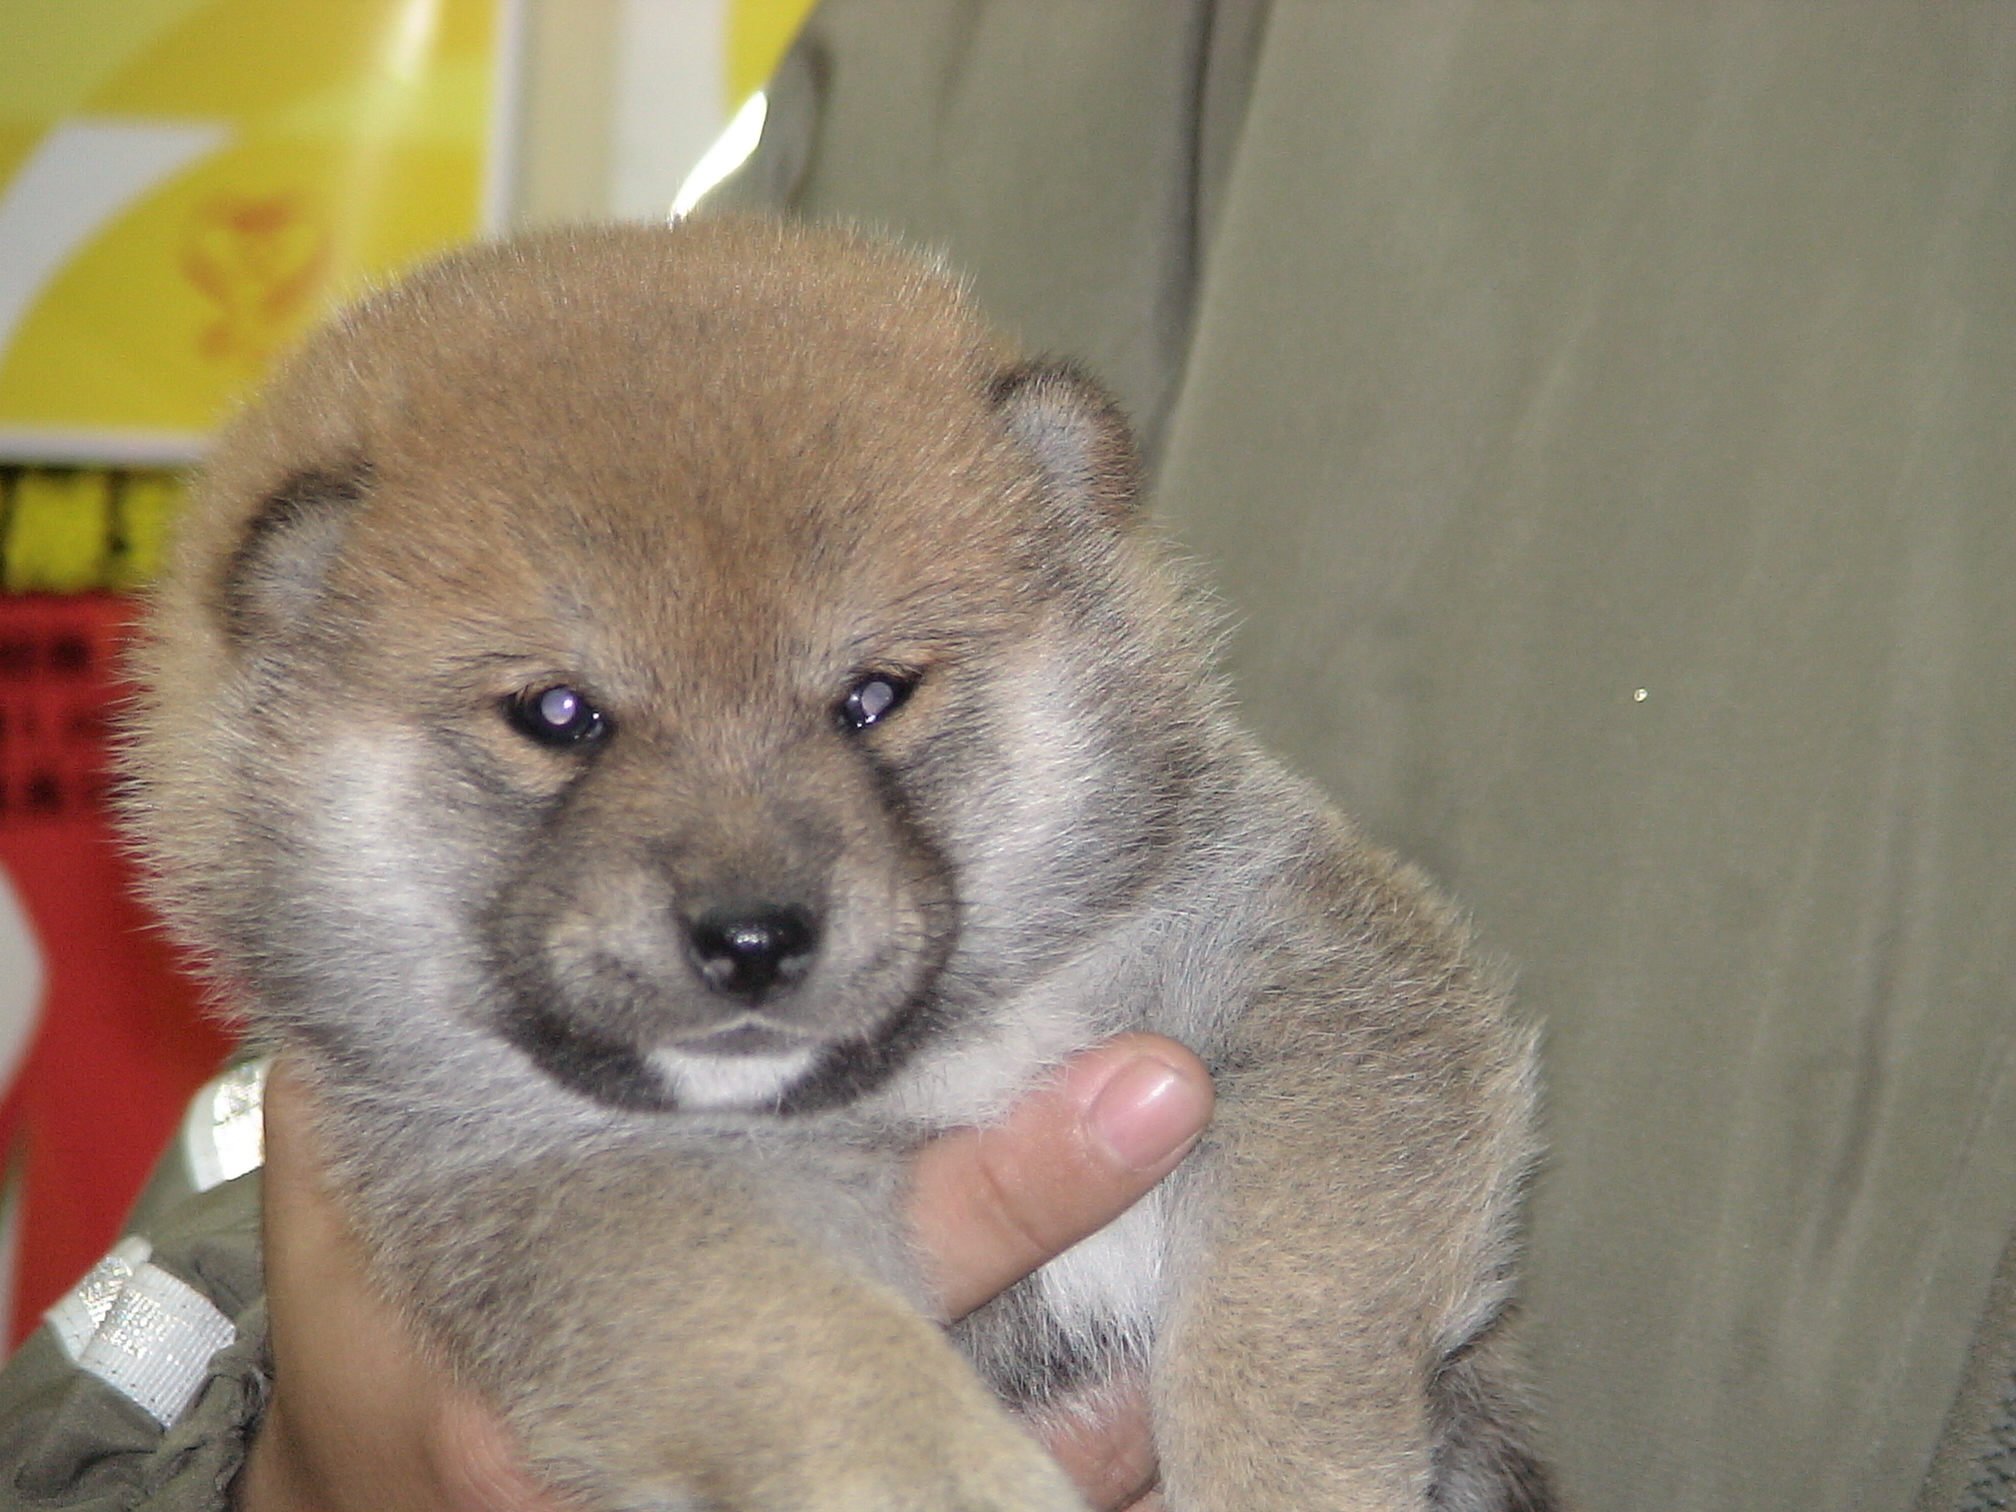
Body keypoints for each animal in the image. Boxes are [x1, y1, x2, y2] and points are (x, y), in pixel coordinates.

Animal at [117, 215, 1548, 1512]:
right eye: (560, 714)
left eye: (873, 697)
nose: (754, 936)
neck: (937, 1069)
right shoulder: (591, 1202)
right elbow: (831, 1368)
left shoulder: (1311, 981)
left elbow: (1287, 1308)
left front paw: (1283, 1472)